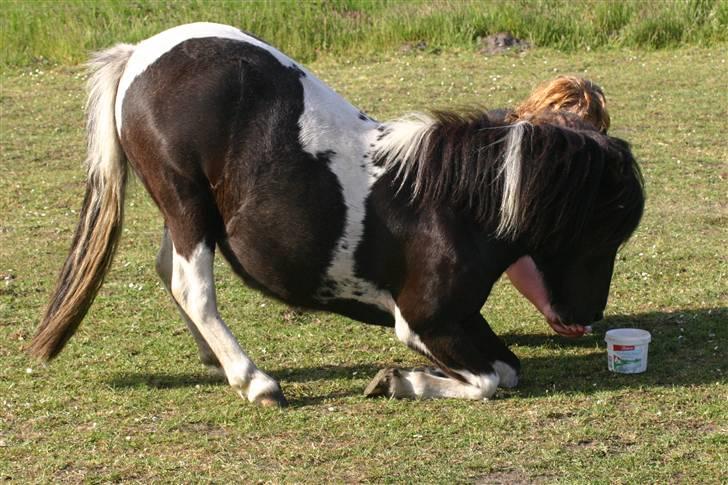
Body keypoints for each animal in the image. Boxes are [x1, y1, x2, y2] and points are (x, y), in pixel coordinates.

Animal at [28, 22, 644, 404]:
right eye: (603, 234)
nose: (586, 316)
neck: (457, 207)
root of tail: (139, 53)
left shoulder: (462, 319)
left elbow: (509, 368)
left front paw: (402, 381)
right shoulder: (424, 321)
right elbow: (492, 379)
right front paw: (398, 382)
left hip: (186, 209)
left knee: (170, 274)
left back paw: (215, 360)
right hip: (184, 201)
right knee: (191, 286)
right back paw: (254, 382)